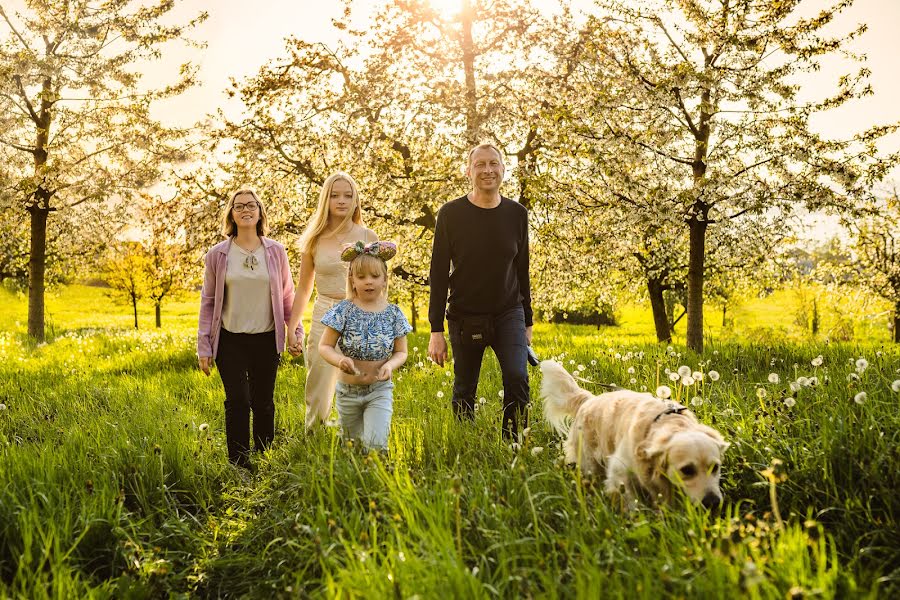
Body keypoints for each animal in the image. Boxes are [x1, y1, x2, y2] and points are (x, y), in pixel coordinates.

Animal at [536, 360, 728, 510]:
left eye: (715, 467)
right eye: (687, 470)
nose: (713, 502)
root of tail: (589, 399)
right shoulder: (619, 471)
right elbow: (631, 502)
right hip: (589, 462)